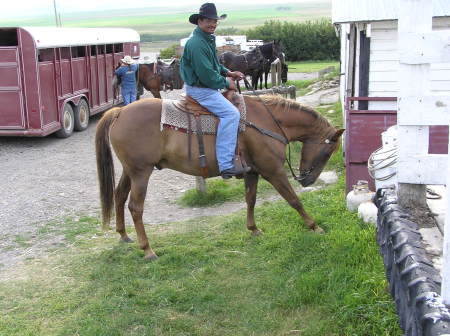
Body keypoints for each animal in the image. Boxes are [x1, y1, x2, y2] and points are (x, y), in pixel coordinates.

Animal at [96, 92, 344, 260]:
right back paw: (147, 249)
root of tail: (120, 112)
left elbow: (250, 199)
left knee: (119, 196)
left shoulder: (252, 171)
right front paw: (314, 226)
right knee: (135, 207)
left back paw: (123, 234)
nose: (307, 180)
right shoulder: (272, 171)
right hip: (141, 172)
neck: (267, 121)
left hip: (130, 170)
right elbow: (294, 200)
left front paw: (253, 229)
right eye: (328, 152)